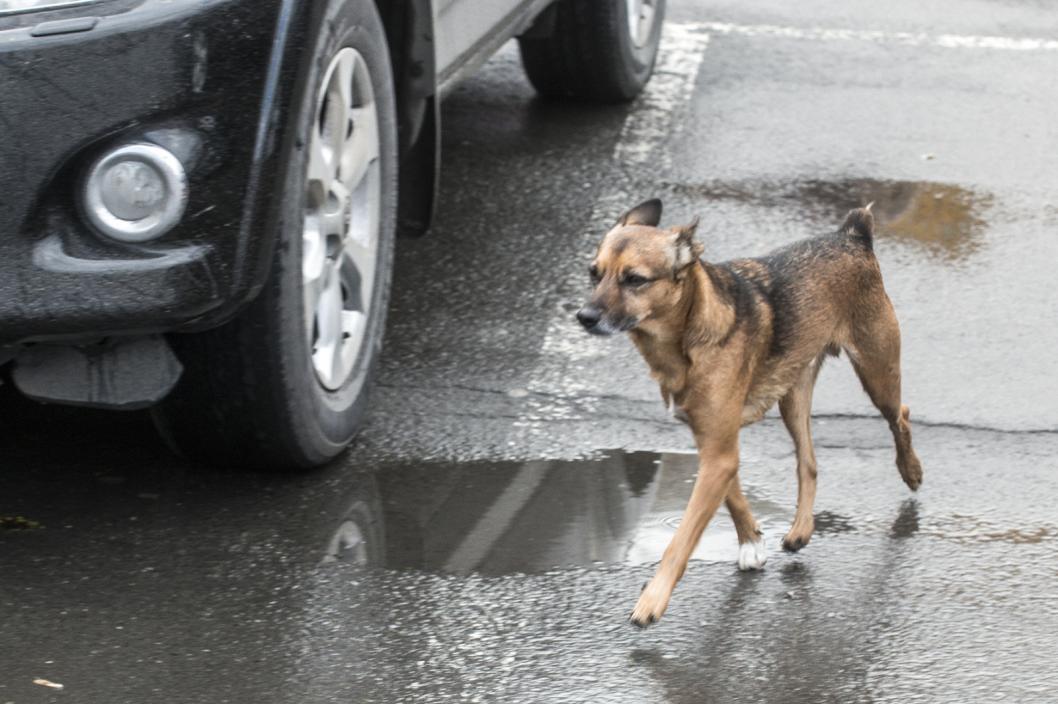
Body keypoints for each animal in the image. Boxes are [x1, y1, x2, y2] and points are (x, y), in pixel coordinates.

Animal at [575, 197, 922, 626]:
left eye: (635, 279)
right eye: (594, 273)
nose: (584, 317)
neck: (688, 335)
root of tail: (851, 235)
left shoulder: (719, 453)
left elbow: (682, 538)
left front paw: (652, 600)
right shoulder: (713, 447)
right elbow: (733, 496)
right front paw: (751, 542)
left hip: (877, 372)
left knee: (900, 415)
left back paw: (911, 471)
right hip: (793, 395)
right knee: (808, 461)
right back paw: (800, 529)